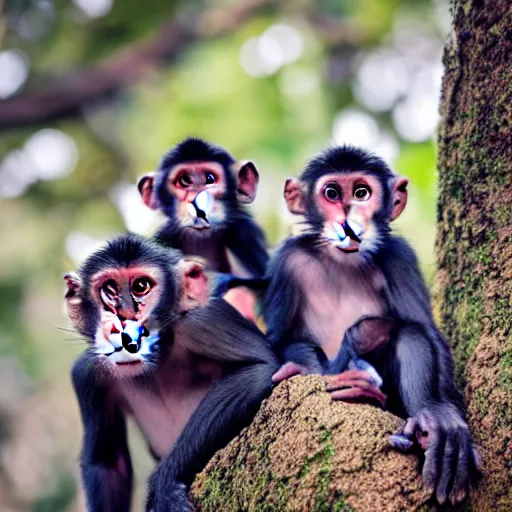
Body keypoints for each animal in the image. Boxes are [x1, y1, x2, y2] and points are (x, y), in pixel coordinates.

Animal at [65, 235, 280, 512]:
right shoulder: (87, 374)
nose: (124, 317)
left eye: (141, 286)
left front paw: (163, 484)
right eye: (109, 289)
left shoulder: (203, 320)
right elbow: (107, 463)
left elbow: (259, 369)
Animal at [264, 146, 480, 506]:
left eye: (362, 193)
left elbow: (425, 330)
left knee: (408, 334)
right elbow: (278, 342)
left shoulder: (398, 255)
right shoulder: (286, 261)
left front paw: (443, 415)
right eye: (332, 193)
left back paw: (427, 421)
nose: (348, 220)